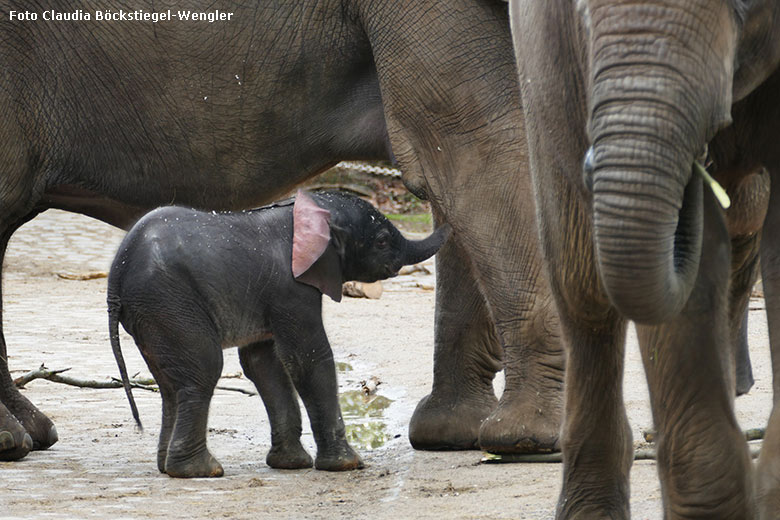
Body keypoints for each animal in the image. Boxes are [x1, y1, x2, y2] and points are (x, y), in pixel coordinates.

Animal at [109, 189, 450, 478]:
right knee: (204, 369)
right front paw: (348, 465)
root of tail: (116, 273)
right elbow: (308, 358)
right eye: (381, 241)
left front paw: (291, 464)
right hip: (168, 301)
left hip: (154, 313)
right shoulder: (292, 287)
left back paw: (168, 467)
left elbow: (263, 363)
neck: (311, 210)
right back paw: (200, 471)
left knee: (171, 385)